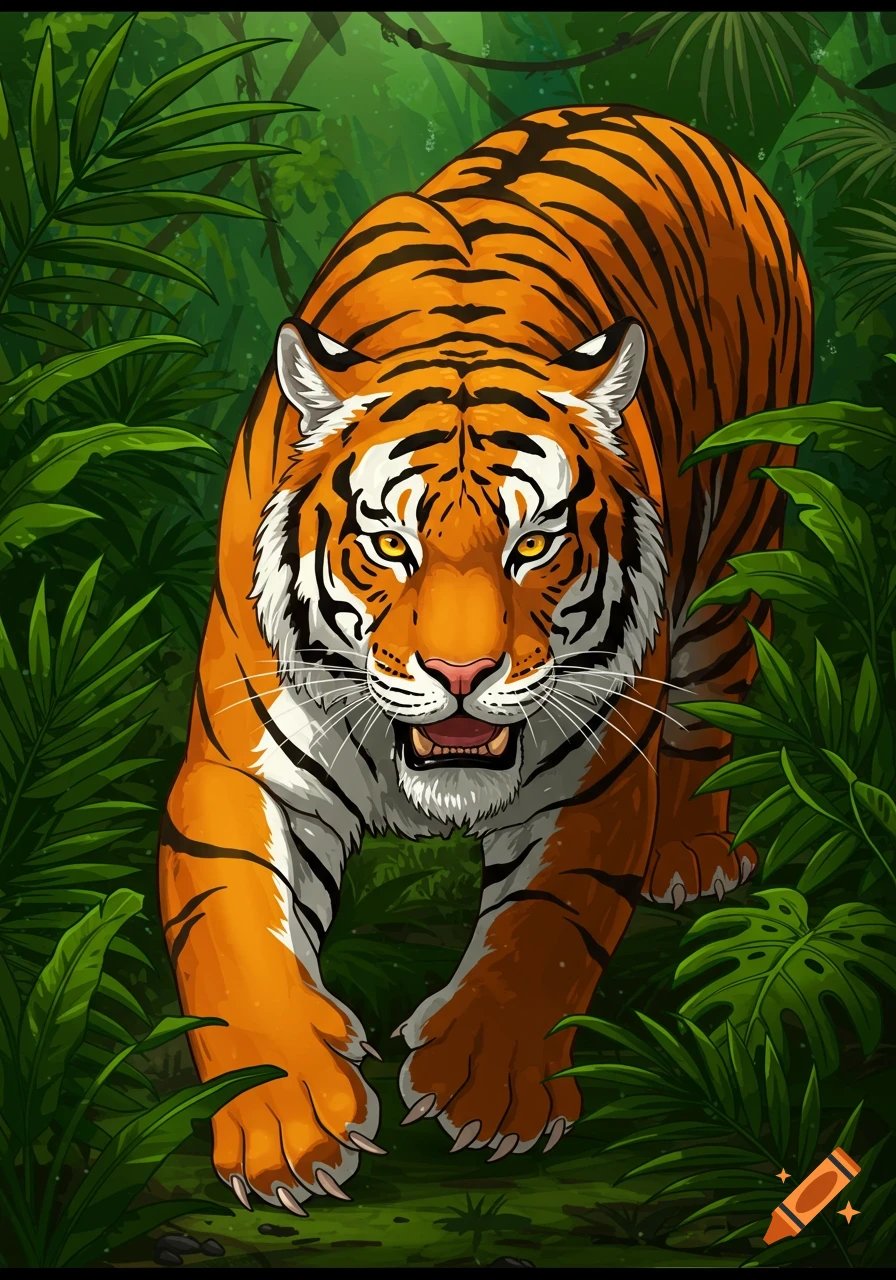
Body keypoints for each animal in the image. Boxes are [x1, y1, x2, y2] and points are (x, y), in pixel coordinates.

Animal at [159, 104, 812, 1214]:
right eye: (388, 545)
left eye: (533, 543)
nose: (461, 675)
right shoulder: (238, 770)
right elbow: (236, 937)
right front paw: (290, 1122)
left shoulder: (593, 777)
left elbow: (545, 929)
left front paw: (487, 1083)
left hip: (740, 533)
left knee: (708, 709)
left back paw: (691, 854)